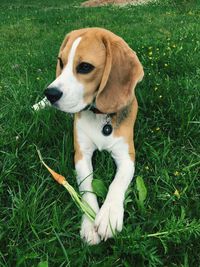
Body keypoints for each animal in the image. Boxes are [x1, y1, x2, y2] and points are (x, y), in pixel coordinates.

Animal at [34, 28, 144, 246]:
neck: (100, 117)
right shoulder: (81, 154)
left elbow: (117, 182)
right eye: (61, 62)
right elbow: (86, 184)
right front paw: (90, 221)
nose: (51, 93)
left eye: (85, 67)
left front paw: (109, 215)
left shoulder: (127, 156)